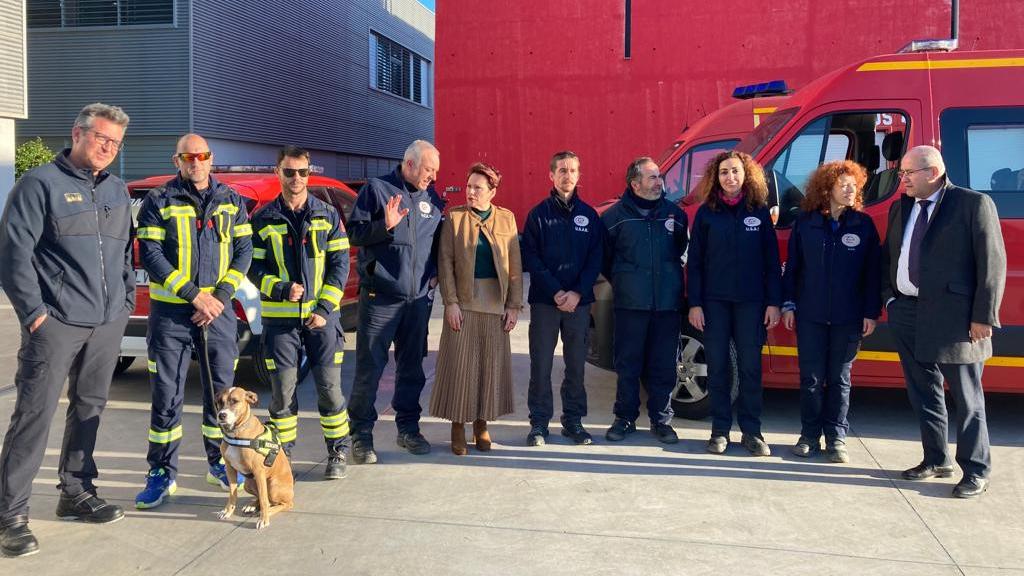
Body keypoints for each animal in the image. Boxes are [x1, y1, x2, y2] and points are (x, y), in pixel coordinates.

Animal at [214, 385, 294, 528]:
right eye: (219, 402)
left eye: (235, 401)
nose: (221, 415)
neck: (237, 432)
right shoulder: (229, 469)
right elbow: (232, 494)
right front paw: (227, 511)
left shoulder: (258, 471)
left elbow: (263, 499)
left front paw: (264, 519)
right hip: (249, 483)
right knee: (266, 500)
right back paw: (252, 506)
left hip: (272, 485)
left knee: (282, 503)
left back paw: (269, 511)